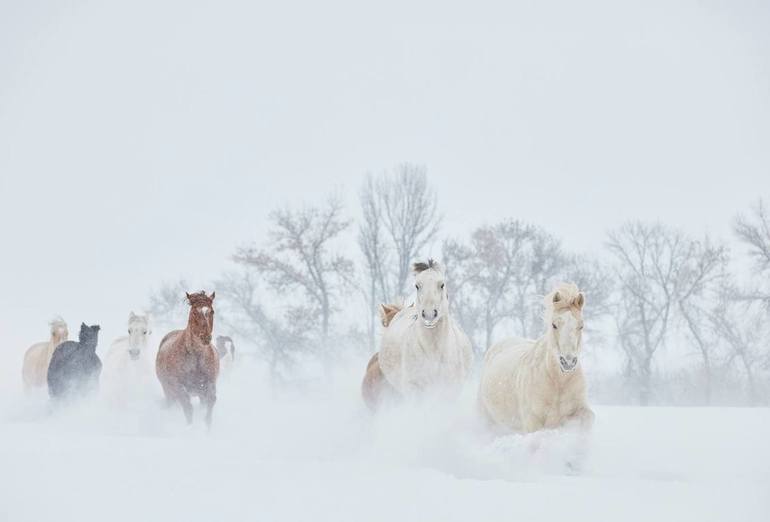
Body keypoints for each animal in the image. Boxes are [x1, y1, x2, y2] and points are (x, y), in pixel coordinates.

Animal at [155, 290, 218, 424]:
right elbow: (188, 408)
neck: (196, 360)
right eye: (194, 312)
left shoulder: (209, 385)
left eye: (212, 311)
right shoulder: (179, 387)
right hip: (168, 391)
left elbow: (210, 403)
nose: (205, 337)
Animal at [476, 282, 592, 432]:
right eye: (554, 325)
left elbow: (588, 420)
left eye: (581, 326)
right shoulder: (533, 421)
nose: (568, 362)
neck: (558, 382)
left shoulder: (578, 410)